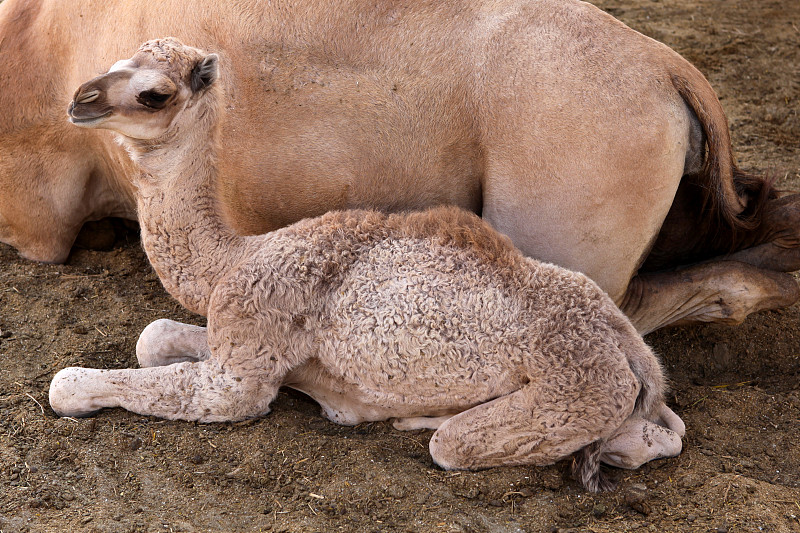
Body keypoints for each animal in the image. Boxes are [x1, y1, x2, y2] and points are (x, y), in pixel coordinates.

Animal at [50, 38, 680, 490]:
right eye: (114, 62)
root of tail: (628, 350)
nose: (80, 100)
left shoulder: (242, 361)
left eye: (154, 93)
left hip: (573, 388)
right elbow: (152, 336)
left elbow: (69, 384)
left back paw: (424, 420)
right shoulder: (254, 333)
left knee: (469, 443)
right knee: (665, 427)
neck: (237, 257)